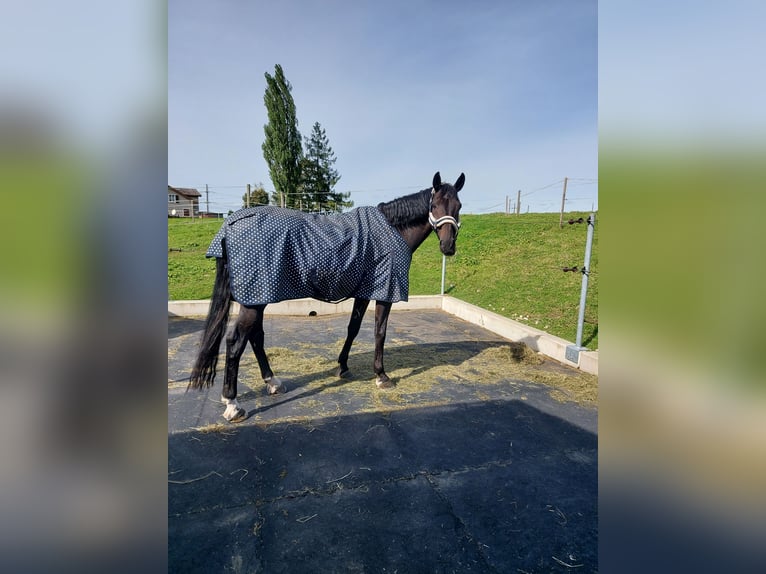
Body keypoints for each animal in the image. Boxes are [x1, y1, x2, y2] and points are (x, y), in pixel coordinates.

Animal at [190, 171, 468, 424]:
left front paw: (342, 366)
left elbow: (353, 328)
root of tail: (231, 224)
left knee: (256, 337)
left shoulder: (363, 293)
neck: (393, 229)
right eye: (434, 205)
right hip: (254, 300)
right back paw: (233, 404)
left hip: (257, 298)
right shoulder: (384, 293)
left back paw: (273, 382)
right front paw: (381, 376)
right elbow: (380, 332)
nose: (448, 247)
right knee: (236, 342)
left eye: (458, 206)